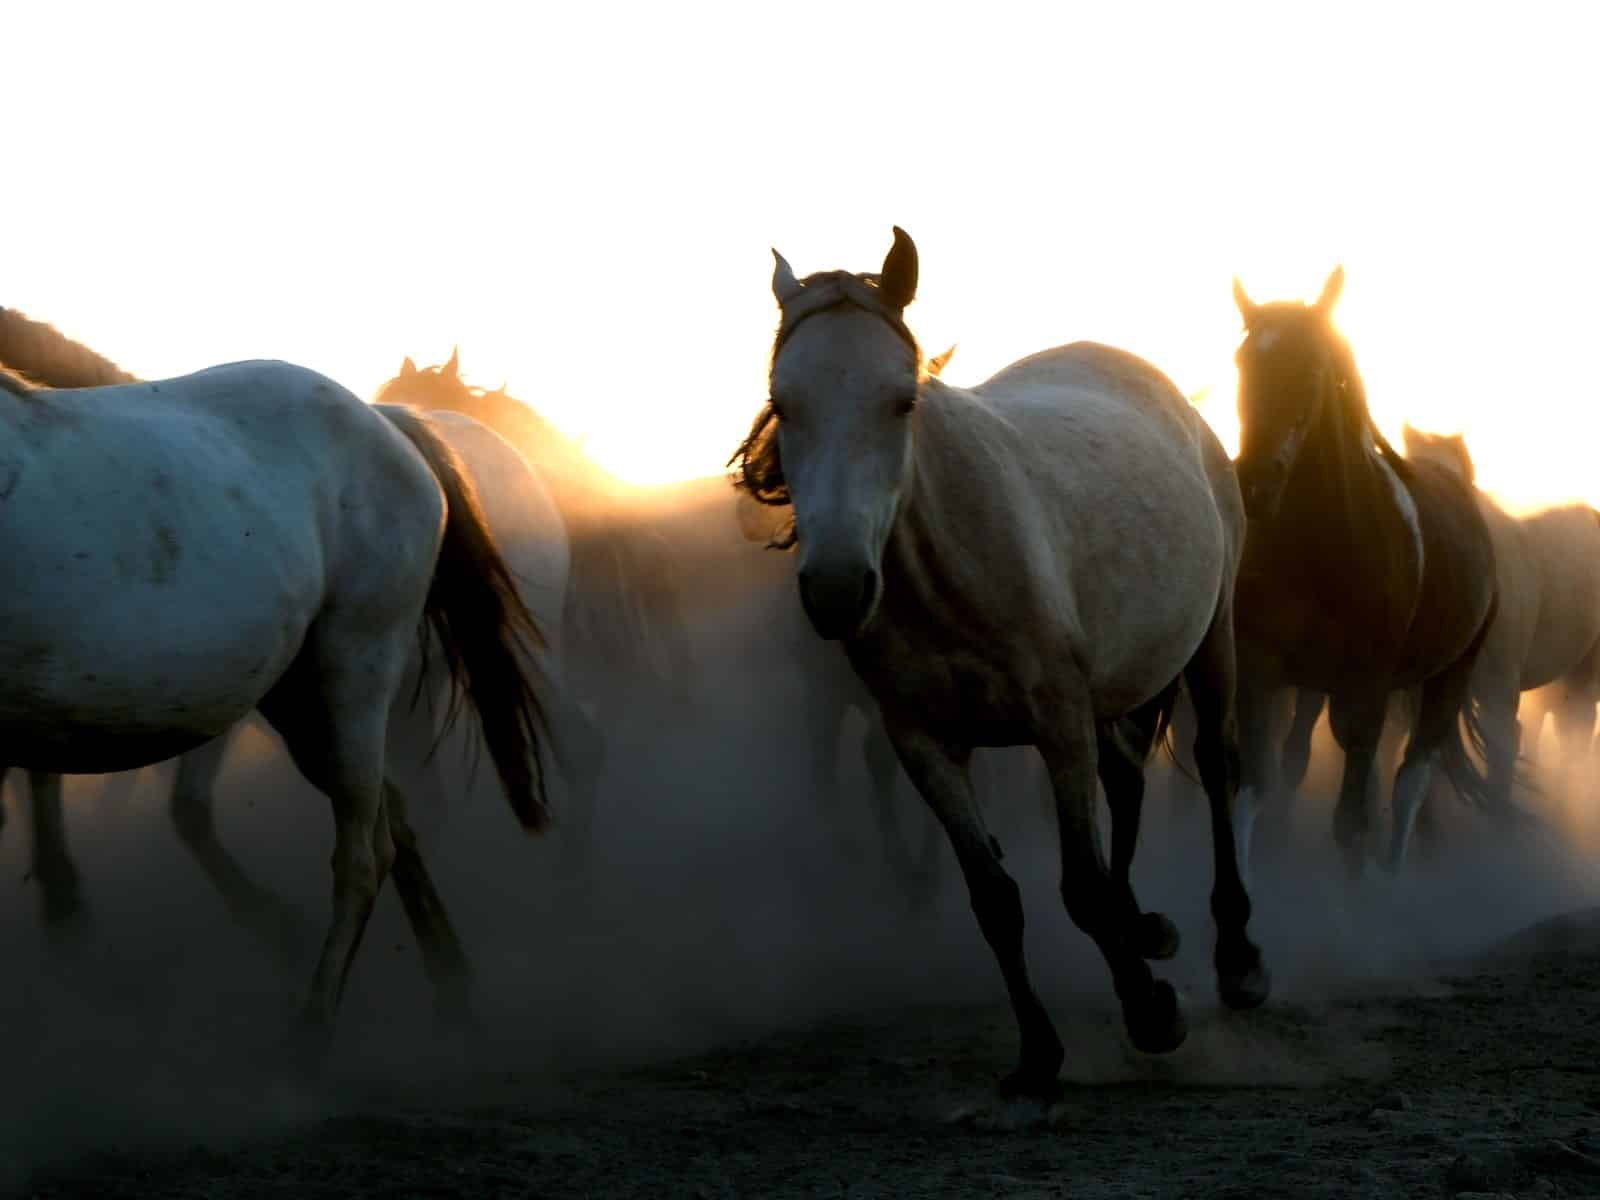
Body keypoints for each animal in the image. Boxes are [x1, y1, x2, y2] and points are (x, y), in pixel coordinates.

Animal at [0, 325, 551, 1057]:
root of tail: (387, 424)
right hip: (298, 705)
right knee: (393, 819)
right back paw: (450, 994)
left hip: (353, 673)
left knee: (363, 854)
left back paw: (309, 1038)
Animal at [731, 227, 1268, 1097]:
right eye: (786, 405)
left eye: (902, 401)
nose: (838, 589)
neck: (951, 567)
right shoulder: (924, 745)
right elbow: (995, 899)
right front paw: (1040, 1051)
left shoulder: (1057, 721)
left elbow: (1078, 888)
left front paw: (1151, 1013)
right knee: (1126, 781)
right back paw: (1146, 928)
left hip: (1212, 634)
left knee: (1218, 765)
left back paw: (1237, 960)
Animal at [1229, 268, 1499, 879]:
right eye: (1242, 362)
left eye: (1311, 368)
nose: (1254, 481)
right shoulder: (1260, 674)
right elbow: (1252, 791)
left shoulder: (1367, 687)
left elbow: (1350, 821)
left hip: (1448, 675)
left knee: (1411, 779)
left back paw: (1393, 877)